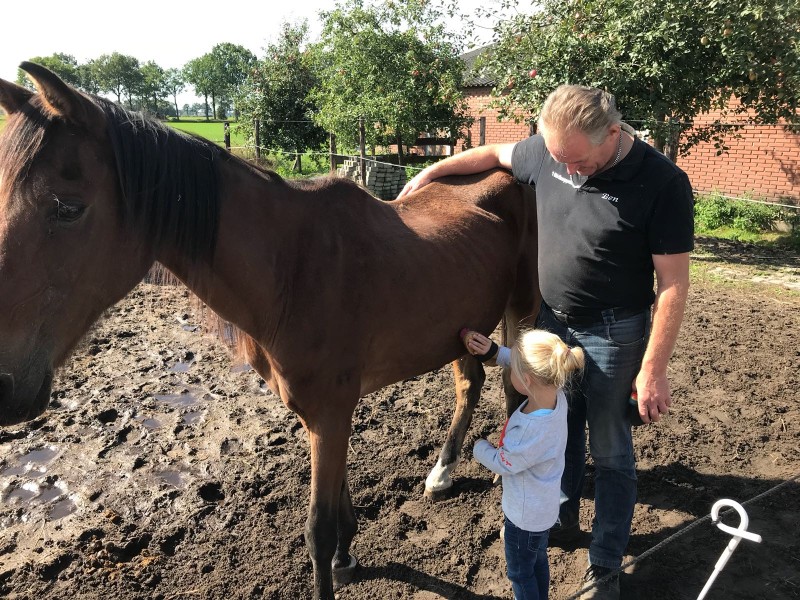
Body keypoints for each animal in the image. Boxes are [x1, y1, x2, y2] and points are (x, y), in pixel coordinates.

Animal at [0, 62, 539, 600]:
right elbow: (339, 503)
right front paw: (347, 556)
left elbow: (318, 530)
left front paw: (335, 558)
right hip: (462, 325)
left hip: (519, 307)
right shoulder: (321, 414)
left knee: (513, 385)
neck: (292, 268)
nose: (6, 385)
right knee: (470, 384)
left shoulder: (330, 413)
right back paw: (442, 473)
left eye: (68, 207)